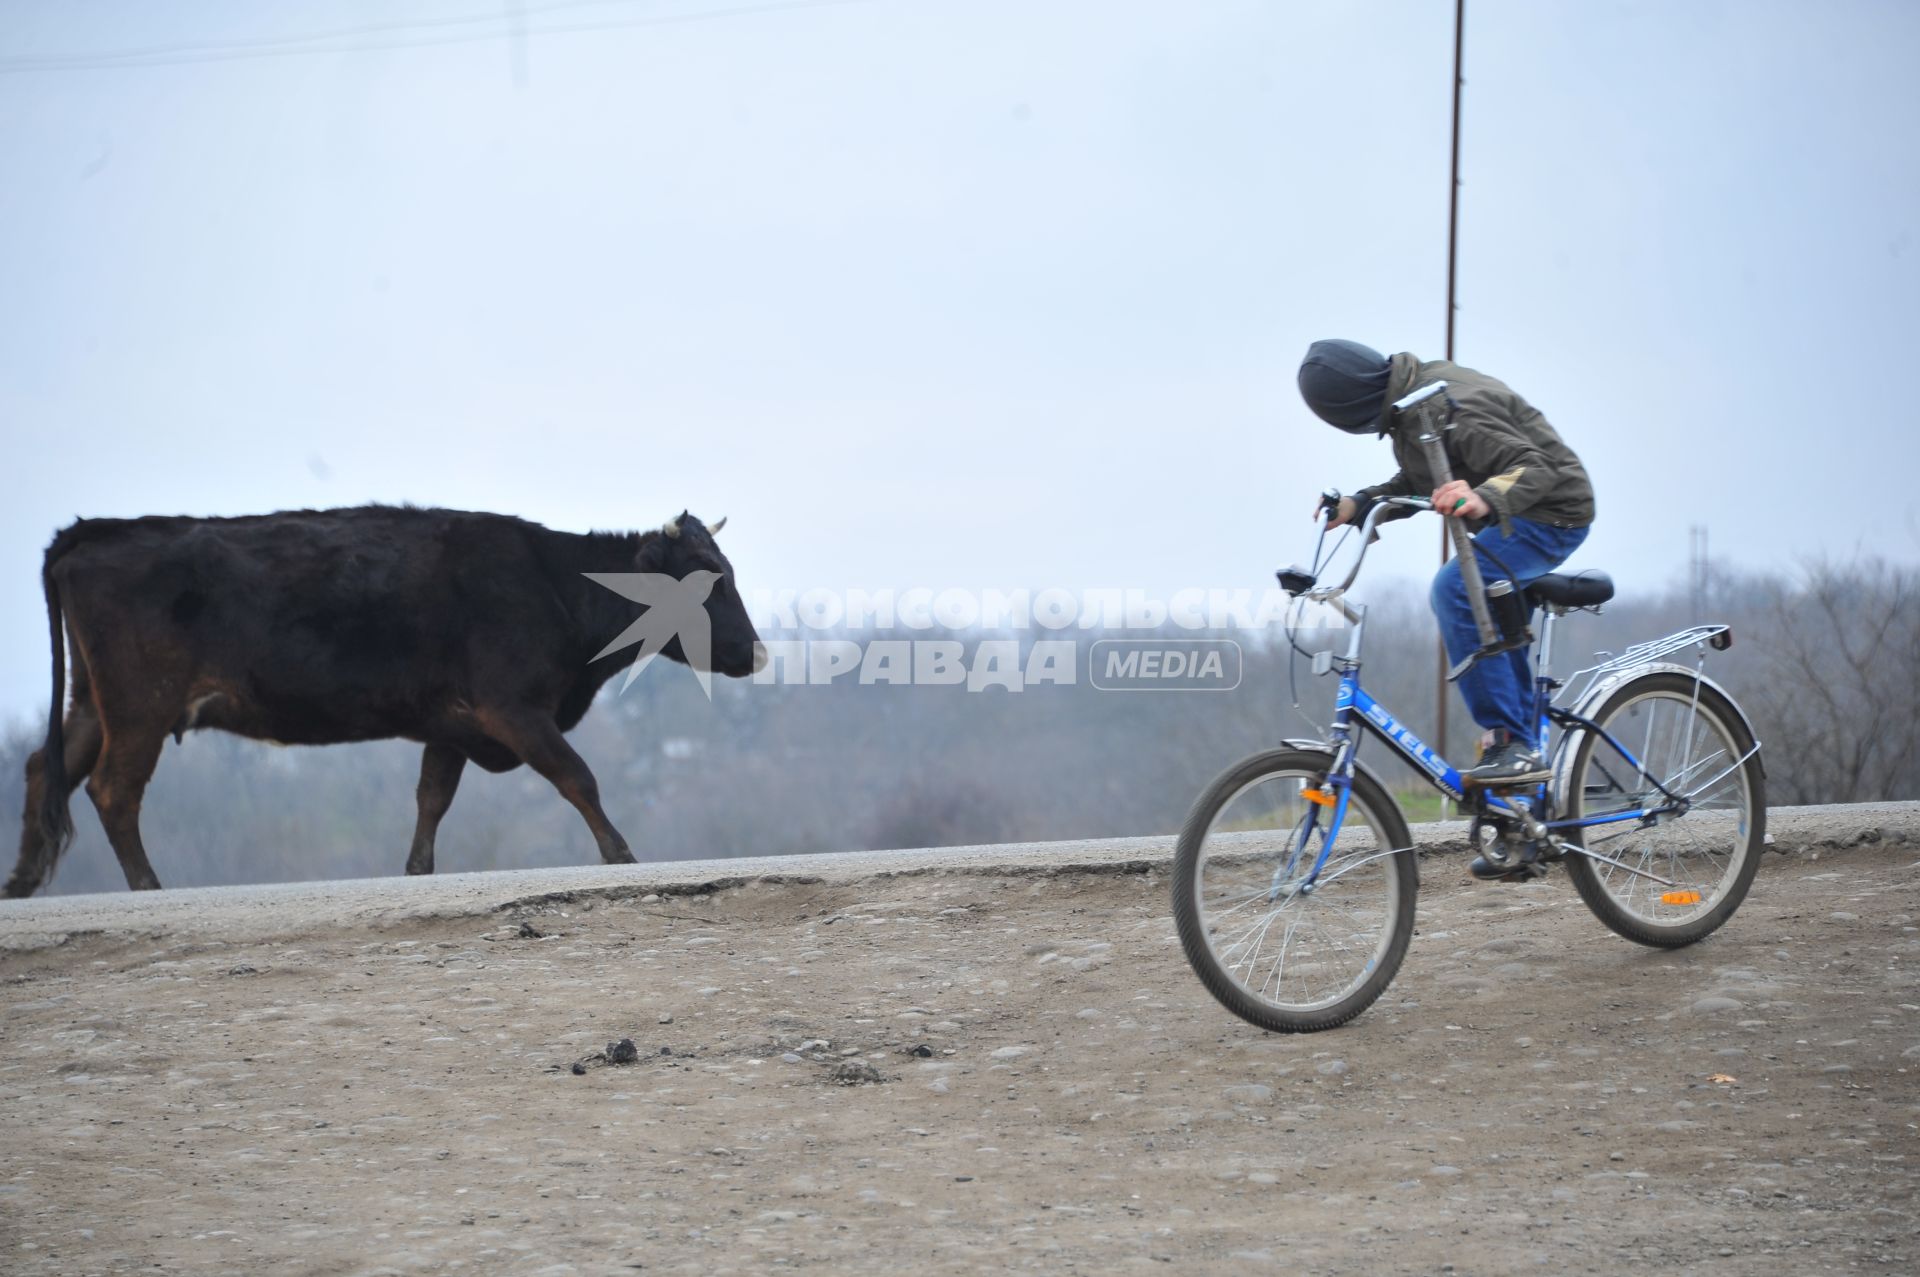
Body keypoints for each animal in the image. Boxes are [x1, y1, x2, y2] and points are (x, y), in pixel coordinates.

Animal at [5, 499, 756, 894]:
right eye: (707, 580)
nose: (755, 651)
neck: (555, 584)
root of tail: (99, 529)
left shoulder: (453, 725)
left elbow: (431, 799)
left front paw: (417, 870)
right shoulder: (513, 709)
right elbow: (578, 776)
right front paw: (620, 854)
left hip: (91, 706)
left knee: (47, 770)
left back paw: (21, 882)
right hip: (140, 706)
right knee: (111, 790)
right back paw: (148, 887)